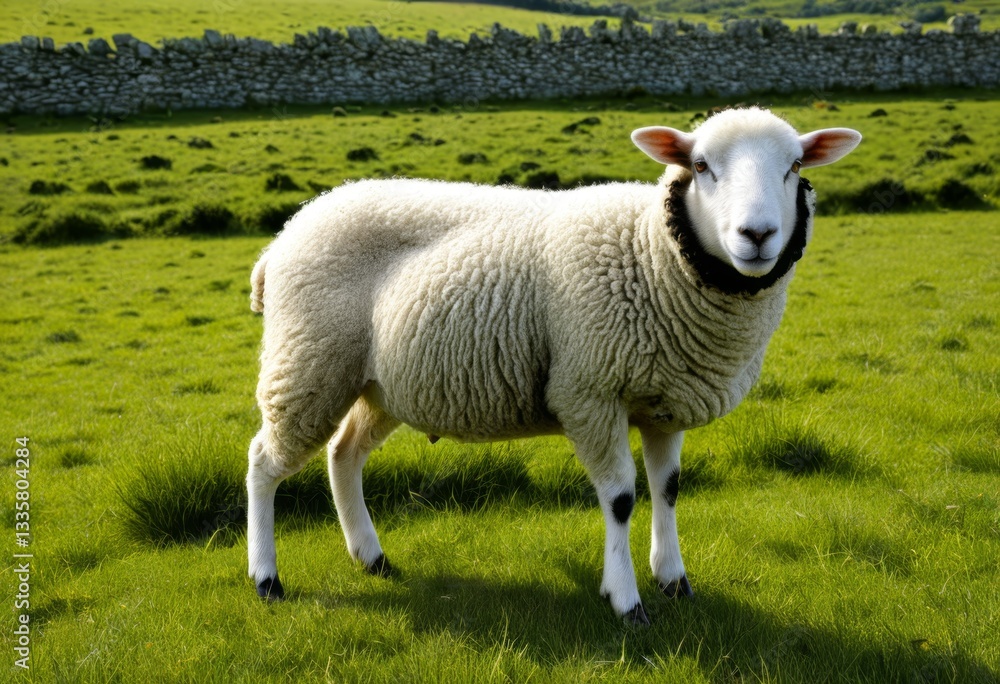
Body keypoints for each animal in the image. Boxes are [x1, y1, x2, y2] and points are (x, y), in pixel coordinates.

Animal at [246, 106, 861, 624]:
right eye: (702, 166)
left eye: (795, 166)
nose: (757, 235)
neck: (652, 254)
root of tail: (290, 229)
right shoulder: (589, 393)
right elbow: (621, 498)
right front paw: (626, 600)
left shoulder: (664, 401)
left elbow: (668, 489)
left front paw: (673, 578)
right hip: (308, 361)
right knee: (263, 460)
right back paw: (266, 578)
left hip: (378, 384)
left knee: (343, 454)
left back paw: (371, 558)